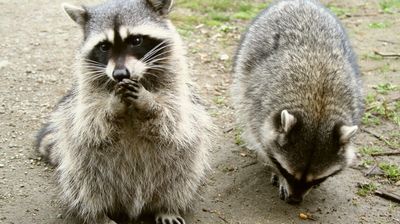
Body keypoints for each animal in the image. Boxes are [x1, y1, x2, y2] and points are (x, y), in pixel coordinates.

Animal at [36, 0, 212, 223]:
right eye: (104, 46)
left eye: (136, 40)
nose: (119, 74)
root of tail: (131, 206)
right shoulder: (81, 99)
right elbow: (89, 124)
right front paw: (112, 106)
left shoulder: (180, 90)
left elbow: (174, 119)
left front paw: (149, 102)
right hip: (82, 167)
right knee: (85, 183)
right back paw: (98, 214)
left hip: (181, 166)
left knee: (181, 177)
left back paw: (168, 206)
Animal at [231, 0, 366, 204]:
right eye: (287, 172)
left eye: (318, 178)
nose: (295, 200)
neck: (318, 108)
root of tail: (299, 1)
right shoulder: (257, 103)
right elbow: (260, 138)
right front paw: (275, 171)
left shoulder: (353, 101)